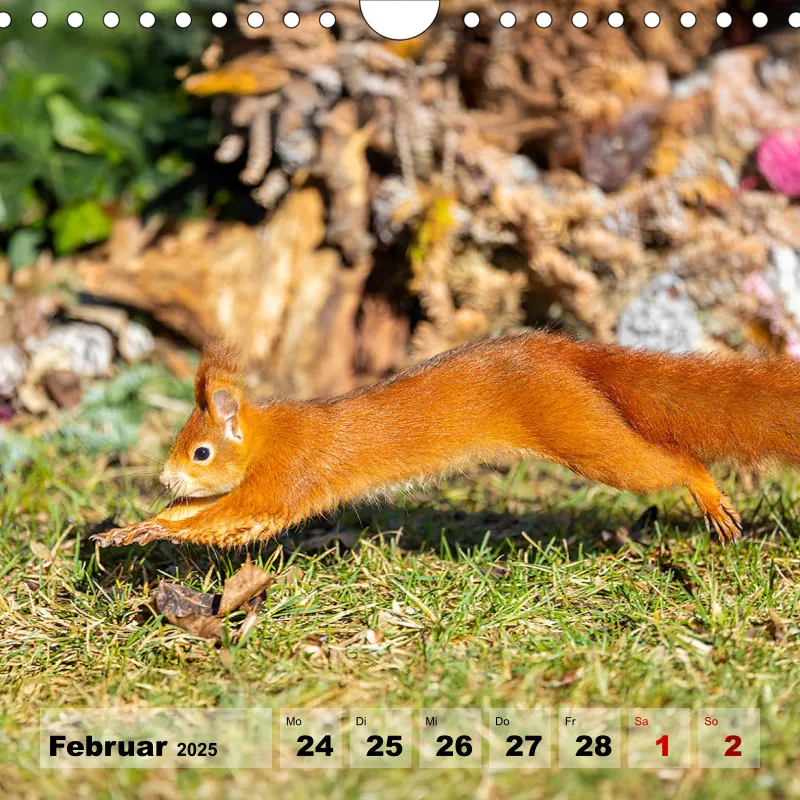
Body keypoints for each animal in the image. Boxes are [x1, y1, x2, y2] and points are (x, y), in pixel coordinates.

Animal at [93, 331, 800, 549]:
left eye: (201, 451)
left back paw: (709, 497)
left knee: (671, 463)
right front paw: (134, 525)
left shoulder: (289, 475)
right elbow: (205, 513)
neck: (269, 435)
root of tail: (567, 353)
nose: (163, 477)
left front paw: (146, 530)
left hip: (582, 432)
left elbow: (232, 519)